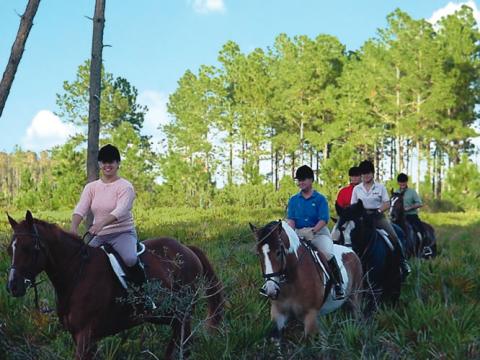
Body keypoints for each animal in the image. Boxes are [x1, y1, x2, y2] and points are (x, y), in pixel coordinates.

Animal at [5, 211, 224, 360]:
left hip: (183, 312)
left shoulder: (85, 336)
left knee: (183, 344)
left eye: (29, 248)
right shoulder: (80, 337)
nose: (13, 286)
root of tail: (187, 249)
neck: (76, 273)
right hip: (167, 315)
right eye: (10, 249)